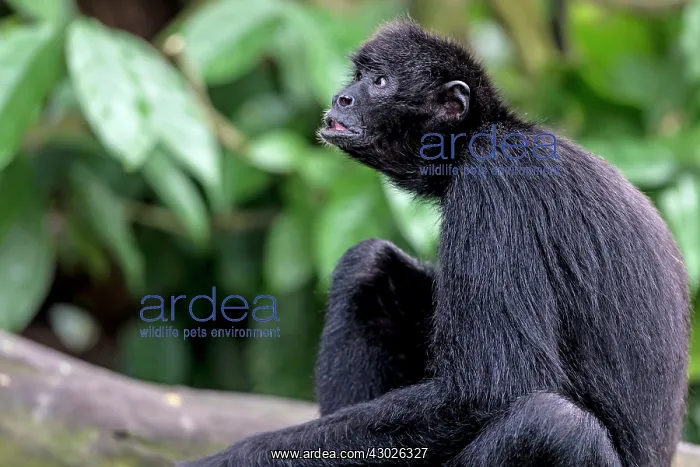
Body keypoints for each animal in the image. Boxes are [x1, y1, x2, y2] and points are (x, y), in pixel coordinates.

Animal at [181, 18, 690, 467]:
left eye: (380, 82)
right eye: (358, 78)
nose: (342, 97)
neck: (490, 132)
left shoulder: (495, 182)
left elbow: (490, 388)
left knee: (552, 425)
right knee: (369, 264)